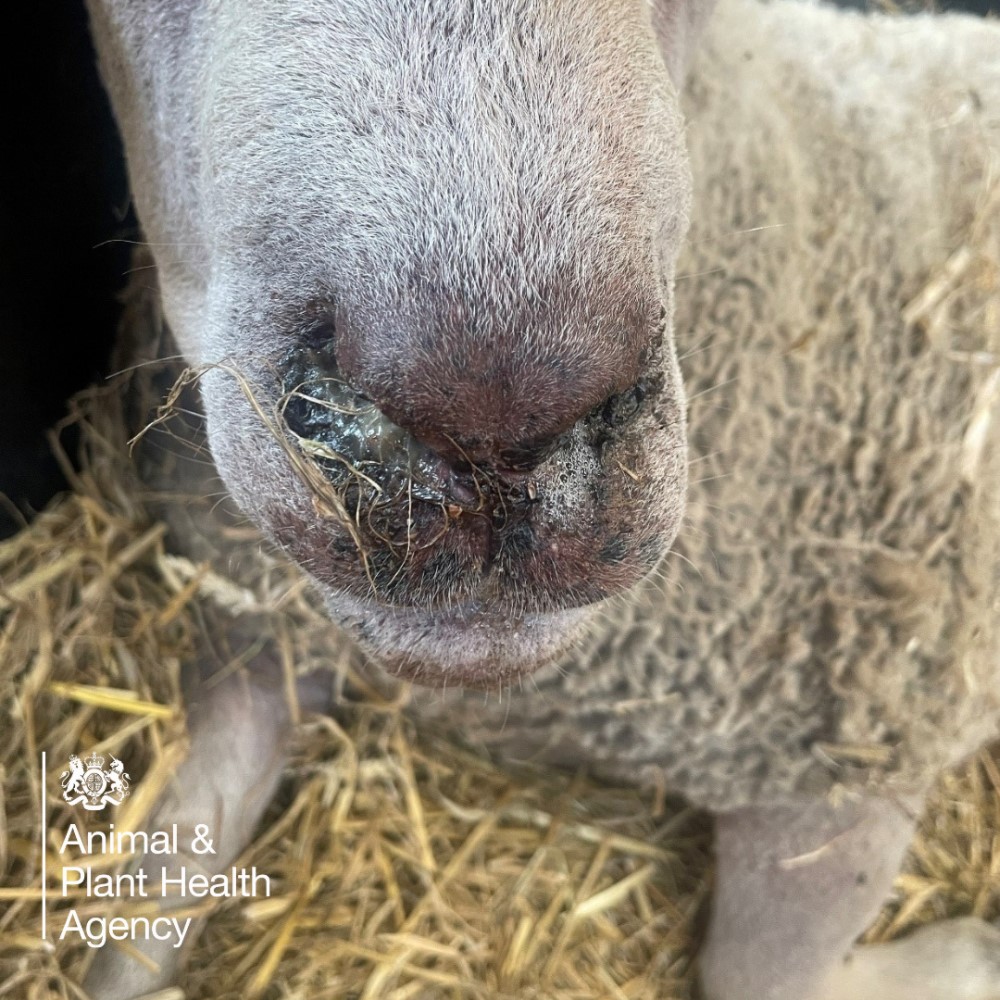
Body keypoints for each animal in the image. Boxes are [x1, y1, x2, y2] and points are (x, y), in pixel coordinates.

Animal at [80, 1, 1000, 1000]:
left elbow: (757, 972)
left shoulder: (842, 756)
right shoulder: (258, 654)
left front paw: (972, 955)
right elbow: (130, 921)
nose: (491, 411)